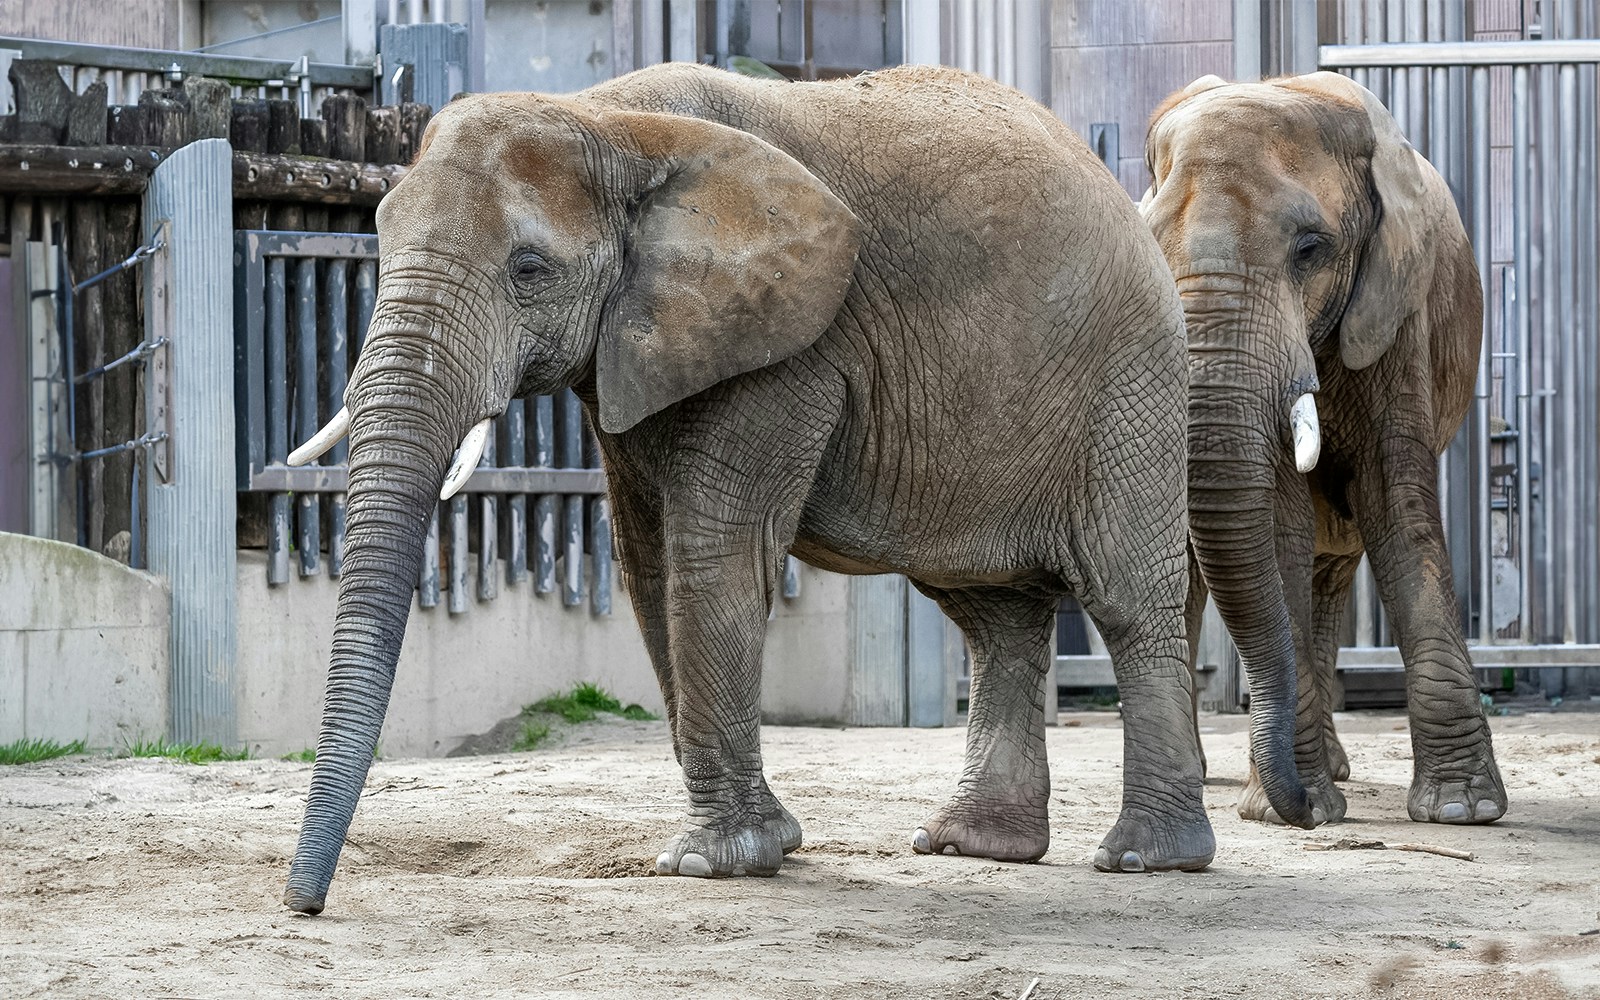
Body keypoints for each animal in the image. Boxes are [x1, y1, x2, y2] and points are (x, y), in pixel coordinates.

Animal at [280, 61, 1313, 916]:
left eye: (528, 269)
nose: (306, 904)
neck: (610, 121)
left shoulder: (791, 346)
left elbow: (714, 555)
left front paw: (715, 864)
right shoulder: (648, 345)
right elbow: (648, 565)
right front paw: (765, 847)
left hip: (1131, 381)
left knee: (1126, 597)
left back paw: (1148, 859)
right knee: (994, 613)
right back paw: (970, 847)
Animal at [1139, 72, 1507, 826]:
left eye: (1310, 249)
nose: (1303, 808)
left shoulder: (1396, 309)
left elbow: (1397, 505)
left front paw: (1463, 809)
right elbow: (1279, 527)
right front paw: (1283, 806)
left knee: (1333, 569)